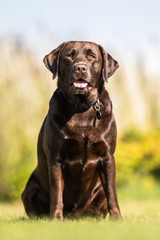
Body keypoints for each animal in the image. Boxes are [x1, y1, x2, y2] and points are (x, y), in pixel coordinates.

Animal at [21, 40, 122, 219]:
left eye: (92, 56)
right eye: (69, 55)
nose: (80, 68)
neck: (81, 108)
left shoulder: (107, 157)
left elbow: (111, 192)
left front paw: (118, 219)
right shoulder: (55, 158)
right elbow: (57, 192)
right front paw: (55, 218)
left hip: (98, 190)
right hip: (29, 188)